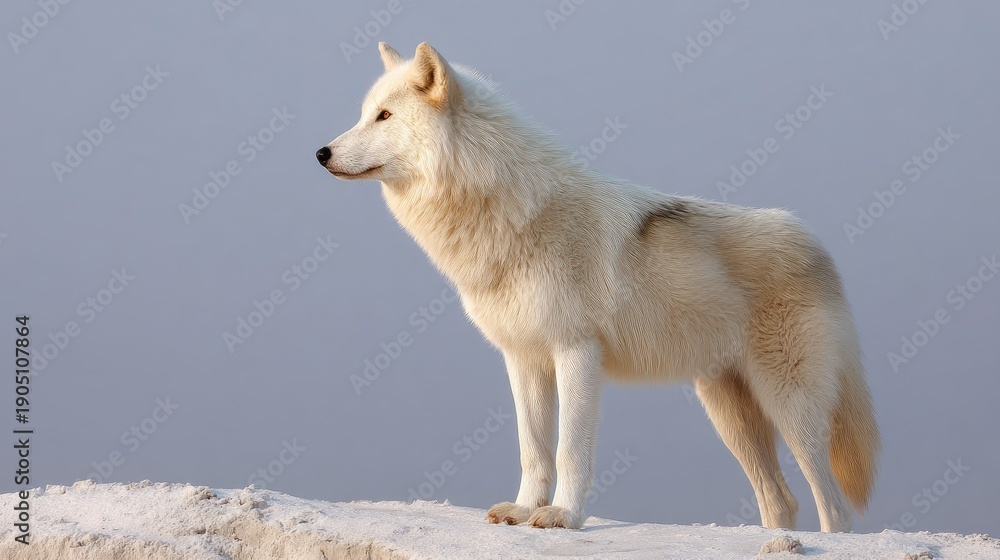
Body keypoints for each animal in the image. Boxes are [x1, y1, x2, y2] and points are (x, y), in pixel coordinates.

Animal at [316, 42, 880, 532]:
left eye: (385, 116)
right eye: (364, 114)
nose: (321, 152)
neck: (512, 214)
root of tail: (814, 243)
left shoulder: (576, 352)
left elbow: (569, 450)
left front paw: (563, 517)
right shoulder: (523, 359)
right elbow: (533, 450)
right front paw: (524, 511)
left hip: (791, 409)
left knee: (834, 508)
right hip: (731, 415)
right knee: (781, 502)